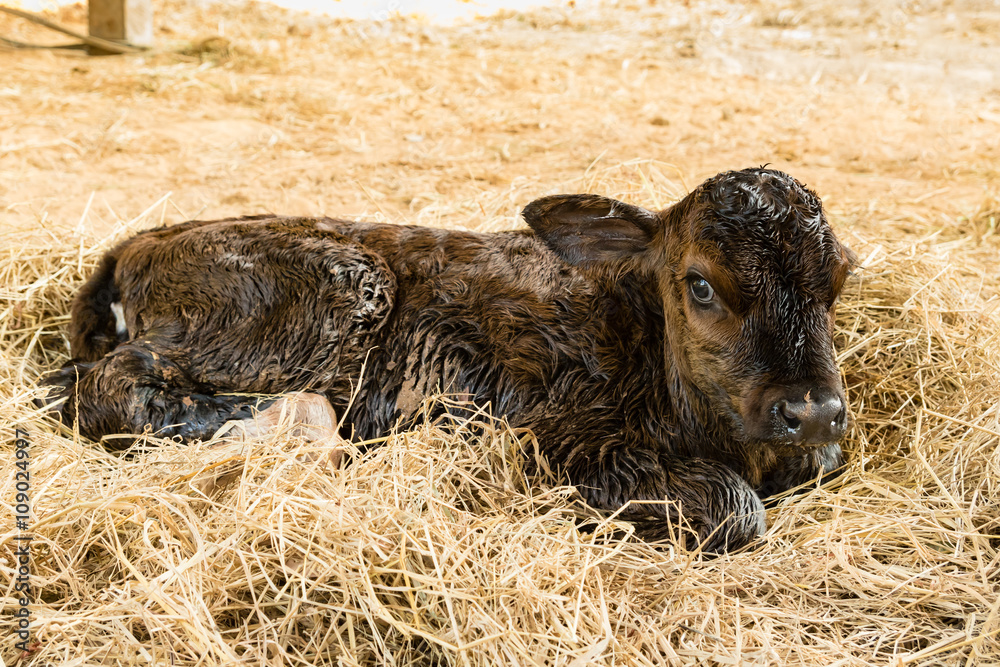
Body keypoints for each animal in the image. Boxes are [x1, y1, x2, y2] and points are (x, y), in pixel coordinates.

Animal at [39, 167, 854, 552]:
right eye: (700, 284)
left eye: (838, 279)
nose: (810, 408)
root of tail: (140, 242)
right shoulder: (566, 440)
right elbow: (736, 509)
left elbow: (819, 463)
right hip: (320, 298)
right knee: (109, 388)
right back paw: (292, 426)